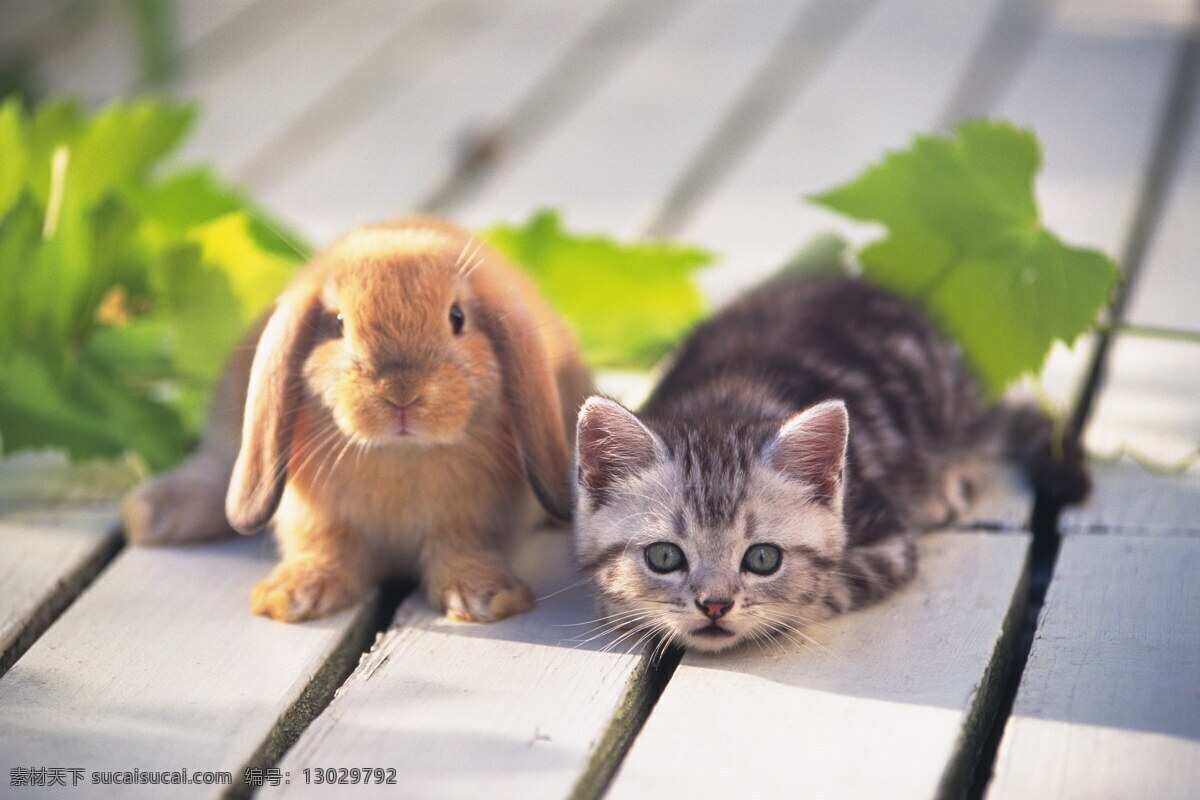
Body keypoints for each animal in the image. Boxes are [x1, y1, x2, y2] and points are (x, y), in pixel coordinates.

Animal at [121, 217, 590, 623]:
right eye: (338, 324)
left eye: (457, 318)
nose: (401, 394)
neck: (400, 454)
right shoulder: (317, 519)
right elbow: (325, 549)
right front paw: (291, 597)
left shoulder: (476, 519)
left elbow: (464, 550)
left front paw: (485, 599)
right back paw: (154, 514)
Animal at [571, 273, 1089, 652]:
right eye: (664, 557)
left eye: (763, 558)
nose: (715, 605)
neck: (723, 406)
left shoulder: (887, 537)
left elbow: (830, 588)